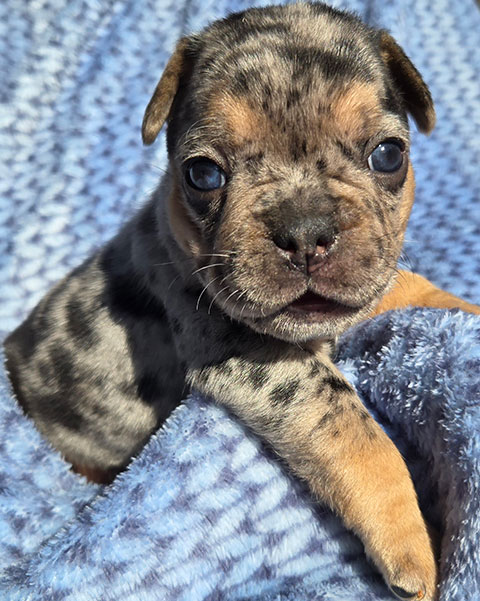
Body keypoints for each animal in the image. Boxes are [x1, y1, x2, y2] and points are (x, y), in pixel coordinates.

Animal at [4, 2, 480, 596]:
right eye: (203, 173)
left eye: (388, 155)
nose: (305, 231)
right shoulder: (252, 358)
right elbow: (349, 421)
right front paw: (413, 543)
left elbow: (406, 285)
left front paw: (464, 304)